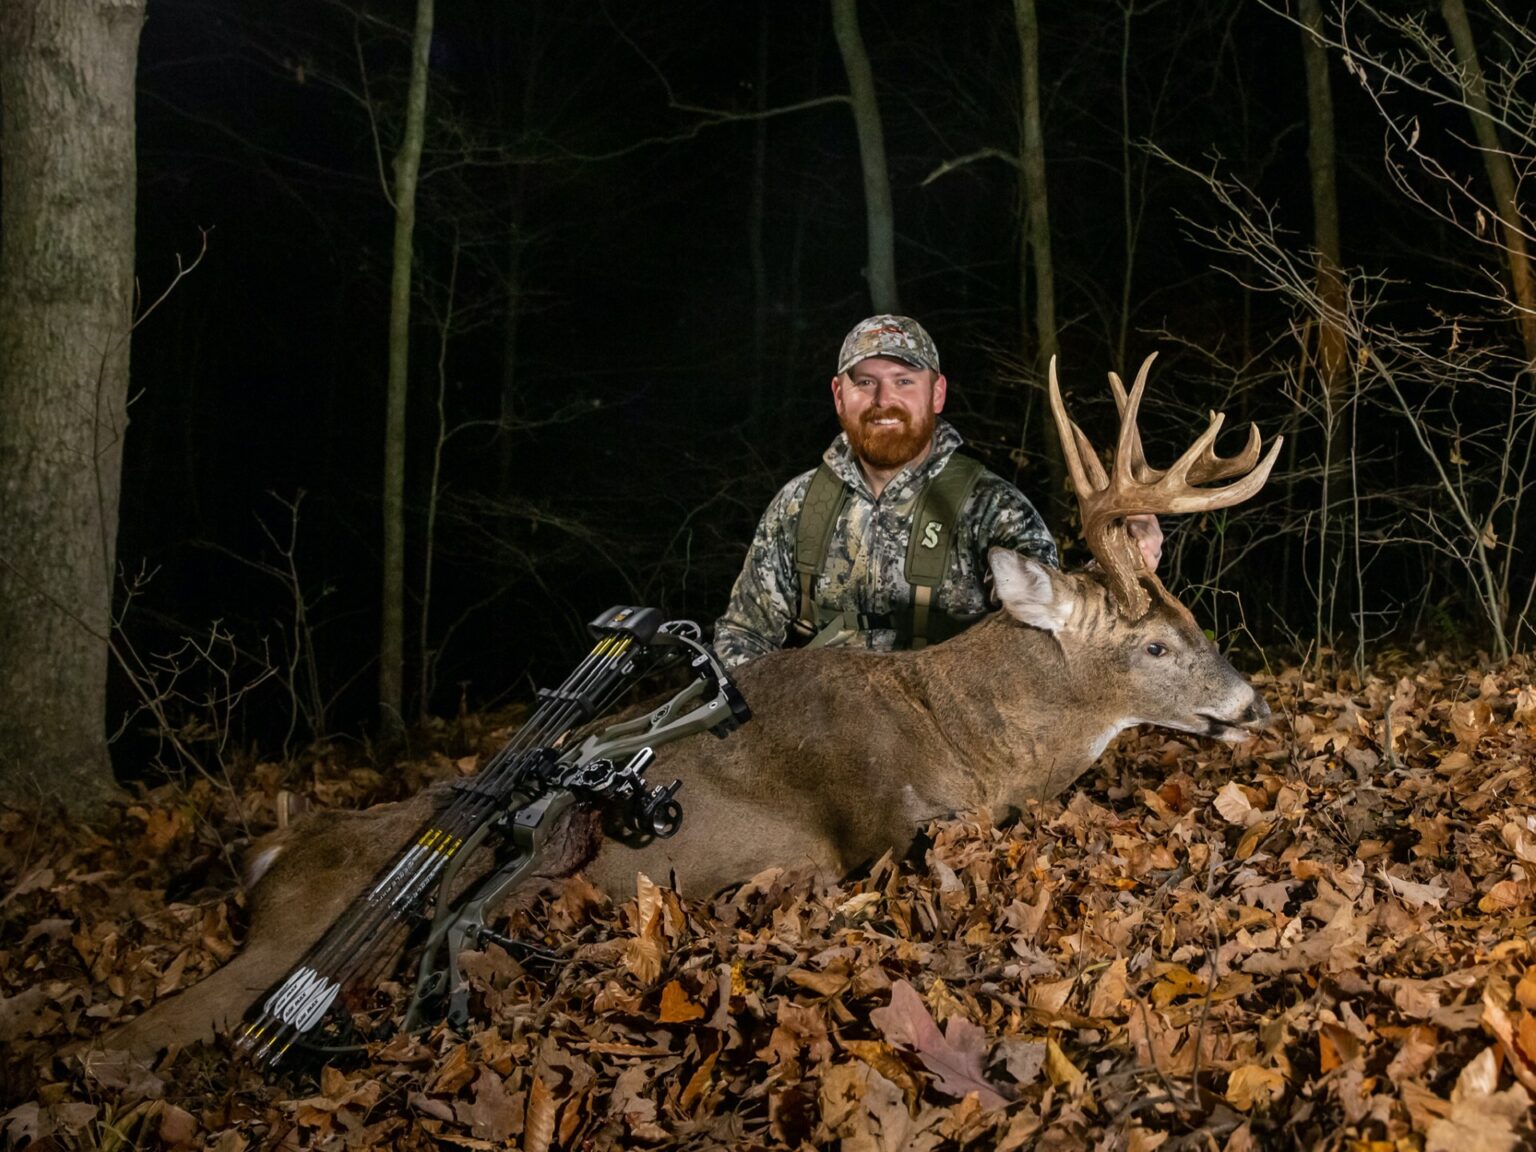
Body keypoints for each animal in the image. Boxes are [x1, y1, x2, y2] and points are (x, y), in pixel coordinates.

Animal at [87, 353, 1280, 1065]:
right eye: (1157, 644)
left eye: (1192, 623)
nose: (1252, 702)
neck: (962, 730)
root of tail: (272, 854)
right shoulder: (884, 824)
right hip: (295, 938)